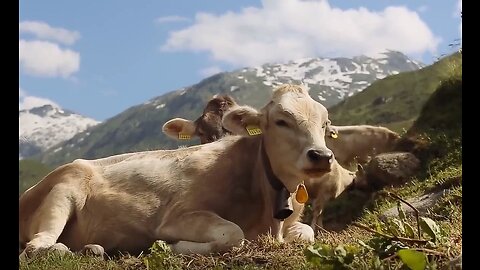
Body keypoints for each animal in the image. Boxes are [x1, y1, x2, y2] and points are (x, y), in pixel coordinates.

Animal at [19, 84, 334, 260]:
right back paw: (62, 249)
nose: (321, 156)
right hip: (65, 188)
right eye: (281, 121)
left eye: (324, 123)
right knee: (35, 246)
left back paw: (92, 249)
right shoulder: (178, 216)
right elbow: (233, 234)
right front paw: (169, 247)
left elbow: (307, 233)